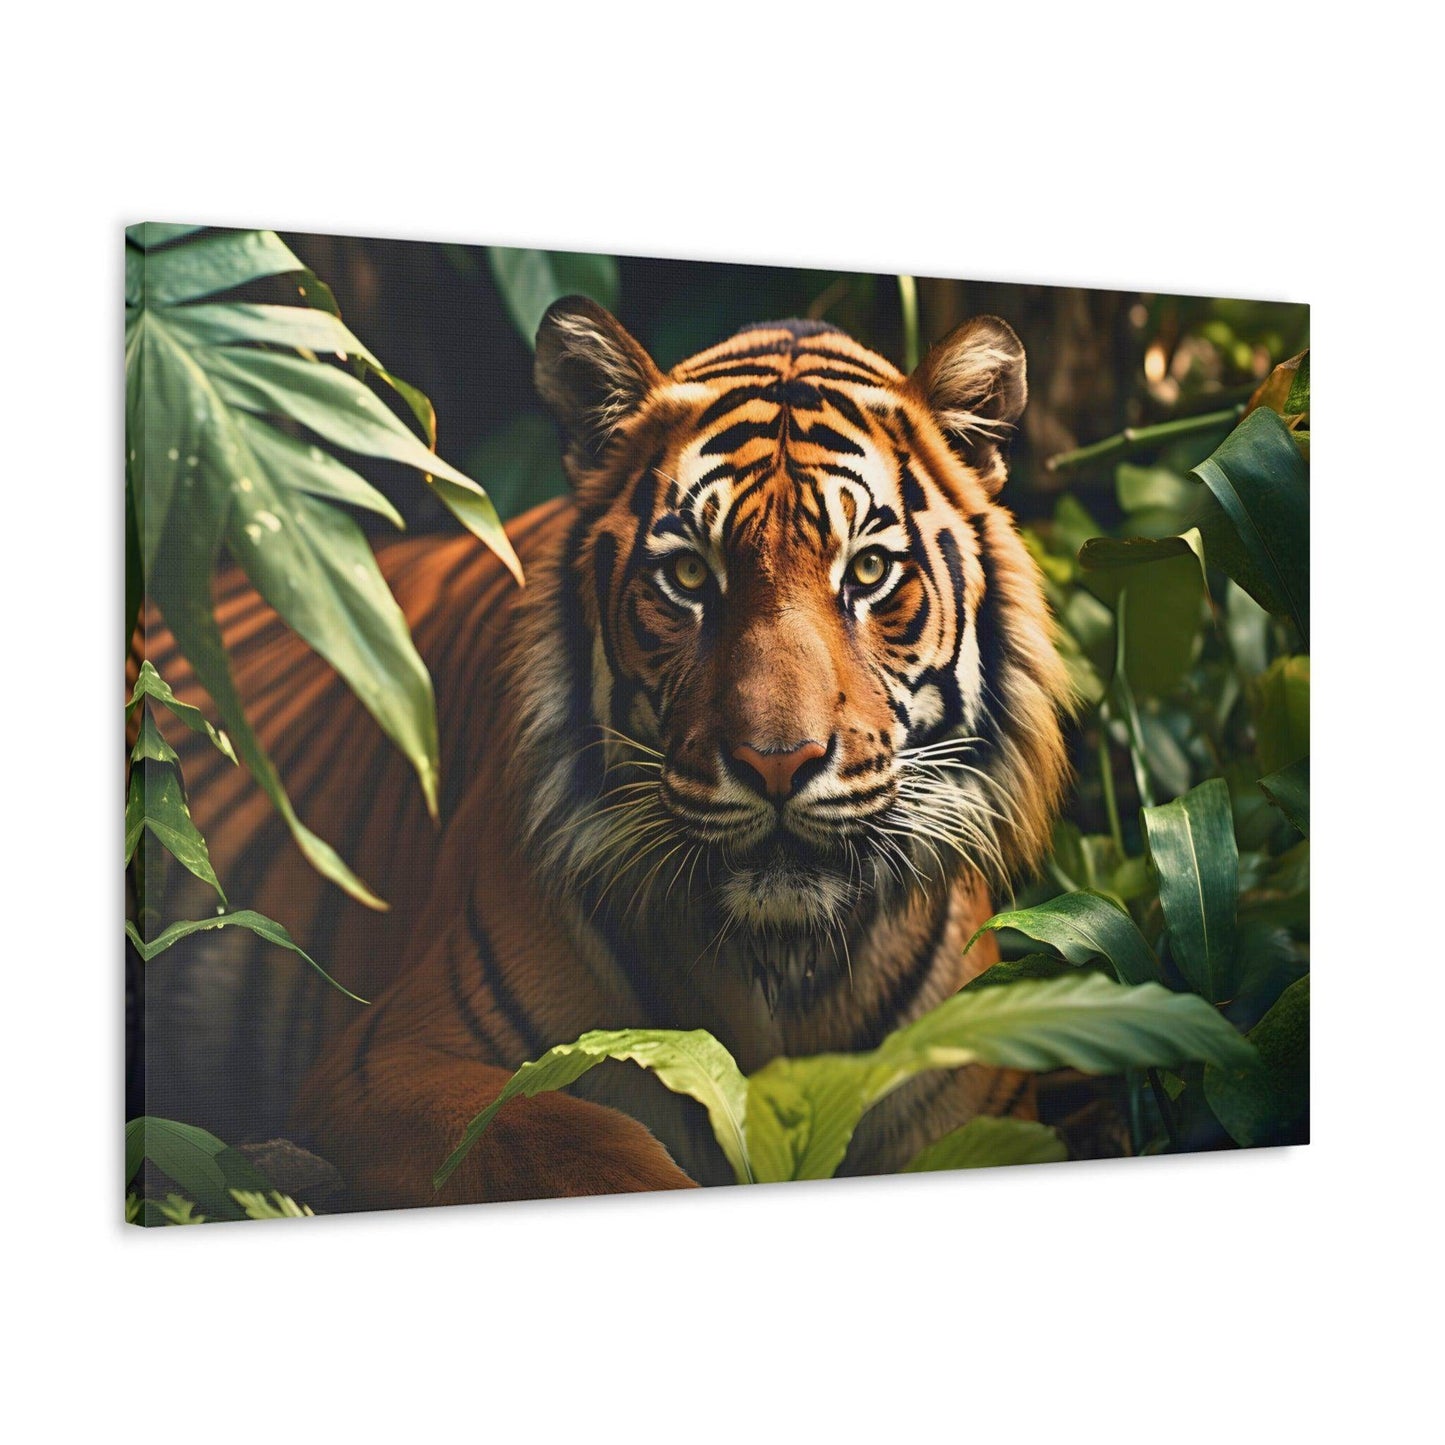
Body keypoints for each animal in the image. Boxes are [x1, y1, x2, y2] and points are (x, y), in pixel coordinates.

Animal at [134, 299, 1073, 1209]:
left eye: (870, 571)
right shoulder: (385, 1058)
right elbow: (559, 1137)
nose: (776, 762)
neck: (777, 967)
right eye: (689, 578)